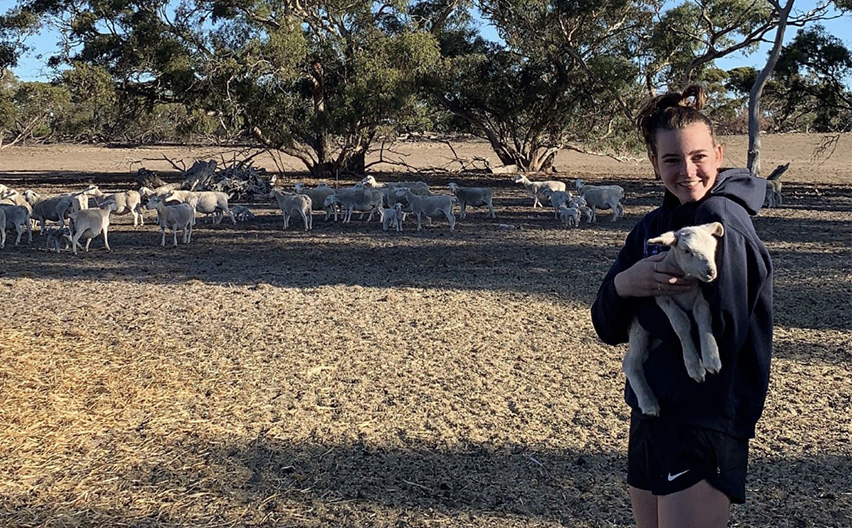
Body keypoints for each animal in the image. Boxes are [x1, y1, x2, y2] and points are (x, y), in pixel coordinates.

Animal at [620, 220, 724, 416]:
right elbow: (681, 322)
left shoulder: (698, 297)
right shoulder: (662, 297)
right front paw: (694, 366)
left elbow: (704, 314)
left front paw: (711, 357)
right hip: (638, 328)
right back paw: (648, 402)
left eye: (713, 246)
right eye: (687, 251)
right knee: (630, 362)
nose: (710, 271)